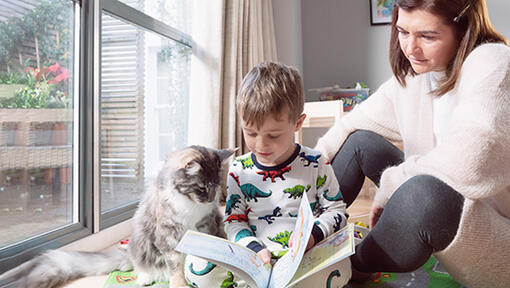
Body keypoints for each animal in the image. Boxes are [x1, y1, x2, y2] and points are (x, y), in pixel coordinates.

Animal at [0, 145, 235, 288]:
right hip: (141, 242)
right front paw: (180, 283)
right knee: (142, 266)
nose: (211, 199)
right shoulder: (167, 235)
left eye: (216, 186)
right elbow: (176, 265)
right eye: (202, 188)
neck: (189, 205)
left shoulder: (207, 224)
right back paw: (145, 278)